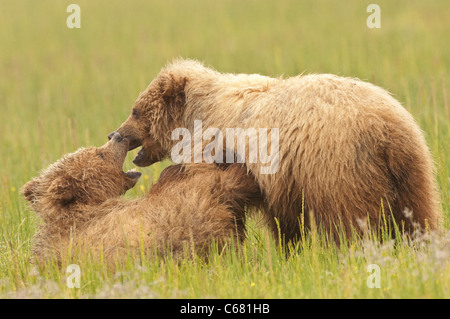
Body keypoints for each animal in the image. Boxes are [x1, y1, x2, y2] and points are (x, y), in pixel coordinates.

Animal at [110, 58, 442, 242]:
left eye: (136, 111)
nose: (115, 133)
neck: (195, 117)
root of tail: (388, 129)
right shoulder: (282, 181)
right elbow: (284, 220)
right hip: (414, 170)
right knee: (421, 215)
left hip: (340, 169)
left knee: (352, 221)